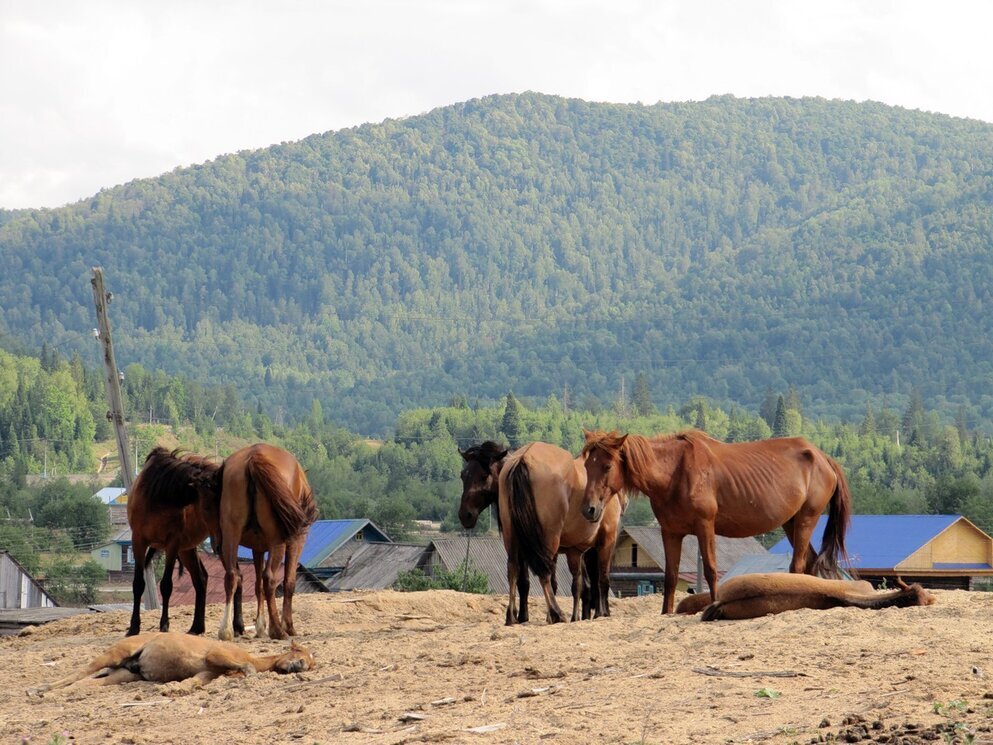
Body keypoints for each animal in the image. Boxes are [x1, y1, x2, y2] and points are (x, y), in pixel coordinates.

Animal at [126, 444, 221, 636]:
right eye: (207, 507)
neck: (159, 497)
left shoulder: (172, 543)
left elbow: (166, 585)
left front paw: (164, 624)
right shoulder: (138, 540)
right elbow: (138, 584)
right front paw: (134, 626)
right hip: (187, 549)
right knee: (201, 578)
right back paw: (197, 627)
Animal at [214, 444, 318, 644]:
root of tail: (255, 456)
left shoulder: (258, 548)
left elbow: (257, 586)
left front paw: (261, 627)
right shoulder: (296, 541)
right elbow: (288, 582)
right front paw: (288, 626)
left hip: (231, 533)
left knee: (231, 576)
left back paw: (226, 630)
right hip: (278, 542)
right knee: (269, 578)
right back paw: (278, 630)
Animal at [580, 428, 852, 612]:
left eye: (607, 466)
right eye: (586, 466)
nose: (589, 509)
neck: (675, 472)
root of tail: (823, 457)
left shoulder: (705, 526)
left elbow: (711, 570)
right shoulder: (670, 532)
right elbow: (670, 576)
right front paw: (666, 613)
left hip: (806, 519)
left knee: (798, 566)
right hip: (791, 523)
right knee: (810, 564)